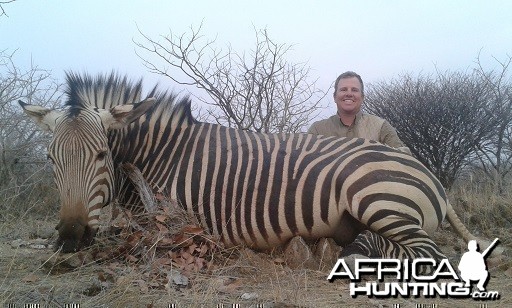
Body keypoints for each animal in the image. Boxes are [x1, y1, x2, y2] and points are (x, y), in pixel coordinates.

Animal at [19, 72, 476, 264]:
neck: (162, 154)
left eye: (101, 156)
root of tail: (423, 169)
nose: (71, 237)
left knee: (428, 254)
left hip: (377, 201)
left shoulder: (173, 226)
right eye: (50, 160)